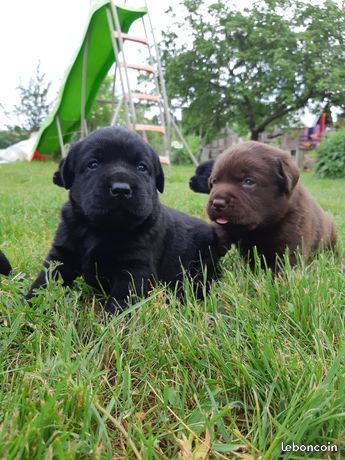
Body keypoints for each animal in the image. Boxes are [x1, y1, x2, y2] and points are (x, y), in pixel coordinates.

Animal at [27, 126, 220, 312]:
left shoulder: (135, 269)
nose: (121, 189)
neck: (100, 229)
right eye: (93, 164)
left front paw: (109, 321)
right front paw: (27, 305)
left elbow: (120, 302)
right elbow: (44, 281)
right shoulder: (62, 254)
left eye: (142, 167)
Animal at [206, 142, 334, 268]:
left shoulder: (292, 242)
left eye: (248, 181)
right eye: (214, 181)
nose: (217, 203)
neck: (260, 227)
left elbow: (285, 265)